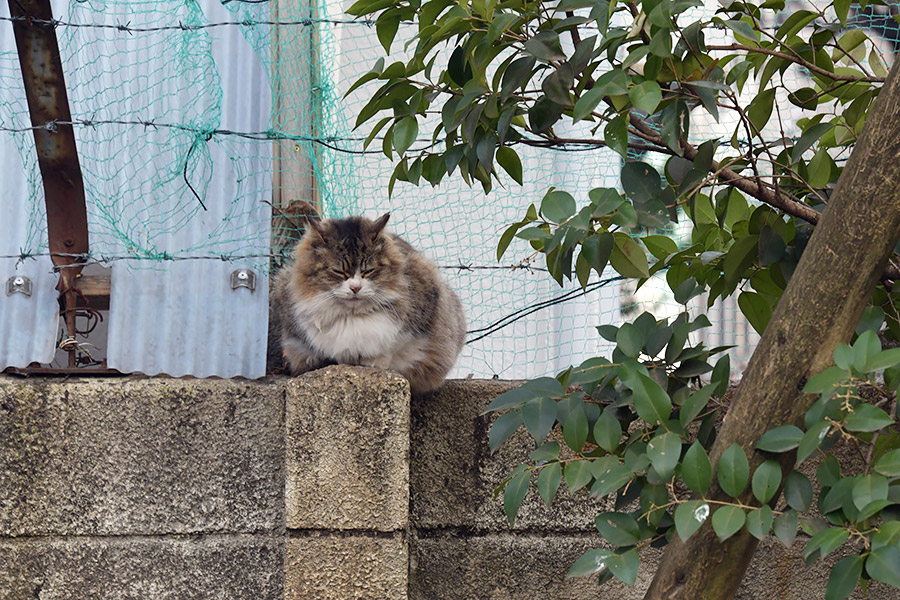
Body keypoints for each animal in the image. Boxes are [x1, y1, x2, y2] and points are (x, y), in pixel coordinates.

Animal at [270, 213, 468, 396]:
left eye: (368, 271)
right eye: (339, 272)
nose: (355, 288)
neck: (351, 318)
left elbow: (393, 347)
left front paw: (373, 362)